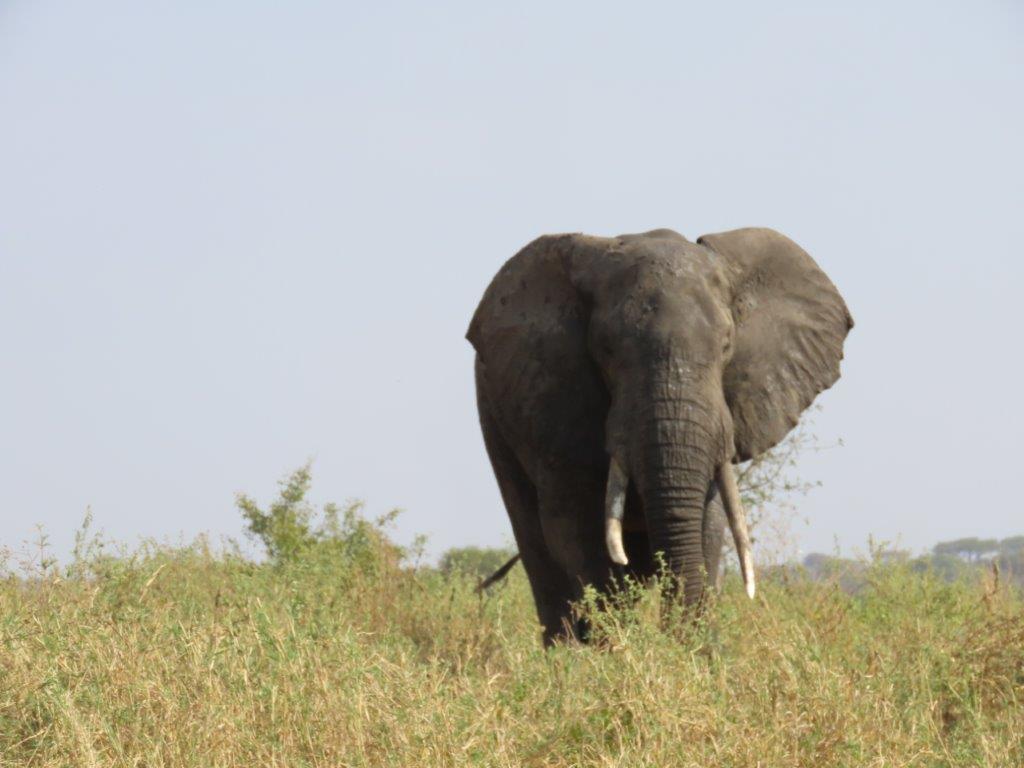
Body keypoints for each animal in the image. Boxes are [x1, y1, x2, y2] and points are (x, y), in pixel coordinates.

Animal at [467, 227, 852, 645]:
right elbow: (575, 528)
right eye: (606, 350)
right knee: (537, 547)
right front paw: (619, 650)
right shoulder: (553, 402)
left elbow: (708, 525)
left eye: (726, 346)